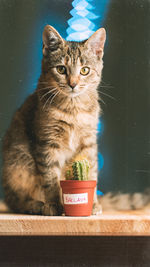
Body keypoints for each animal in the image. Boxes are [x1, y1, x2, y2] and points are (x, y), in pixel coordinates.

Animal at [1, 25, 106, 216]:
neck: (73, 109)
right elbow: (51, 178)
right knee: (16, 200)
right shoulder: (47, 142)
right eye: (61, 69)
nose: (73, 84)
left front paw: (93, 204)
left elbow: (92, 173)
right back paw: (35, 205)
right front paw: (54, 204)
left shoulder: (88, 142)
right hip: (19, 163)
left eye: (85, 70)